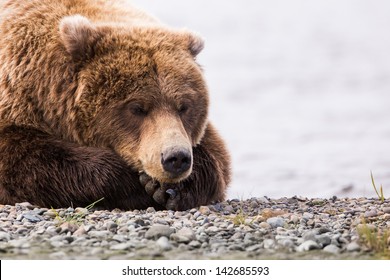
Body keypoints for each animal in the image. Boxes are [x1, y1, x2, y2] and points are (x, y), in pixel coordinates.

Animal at [0, 0, 232, 210]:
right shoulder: (18, 99)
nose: (176, 158)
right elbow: (23, 160)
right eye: (137, 108)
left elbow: (217, 157)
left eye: (184, 106)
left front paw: (173, 189)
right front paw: (137, 183)